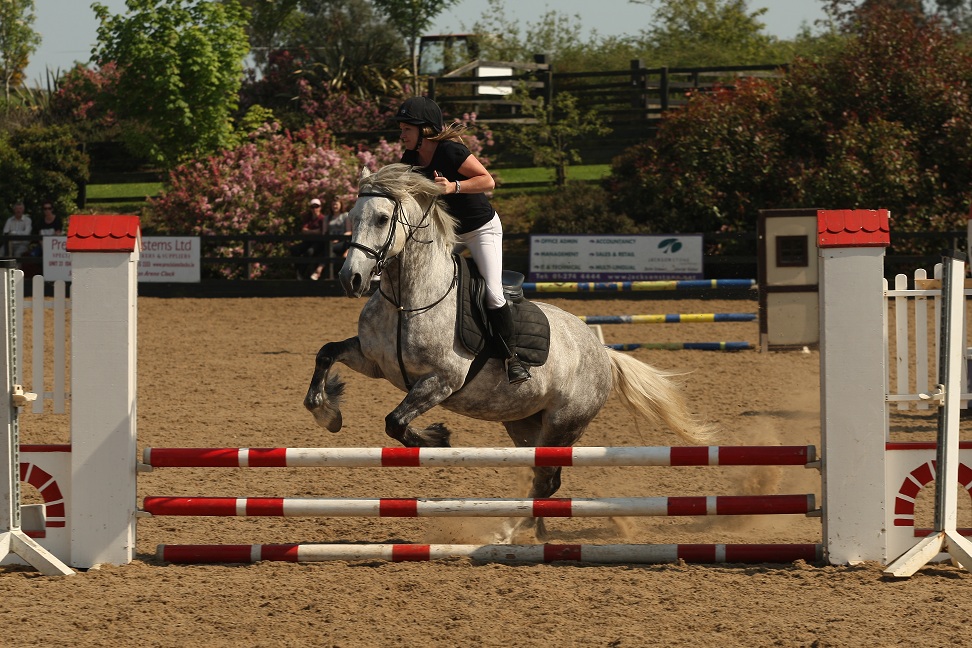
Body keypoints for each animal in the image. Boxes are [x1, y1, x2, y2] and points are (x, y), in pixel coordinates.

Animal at [304, 163, 713, 542]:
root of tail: (603, 352)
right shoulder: (374, 361)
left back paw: (510, 530)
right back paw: (534, 531)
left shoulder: (441, 381)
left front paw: (438, 438)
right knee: (542, 477)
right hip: (524, 422)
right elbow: (326, 354)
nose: (351, 279)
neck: (408, 300)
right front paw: (328, 412)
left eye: (382, 218)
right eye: (353, 217)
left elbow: (396, 422)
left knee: (546, 480)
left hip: (563, 424)